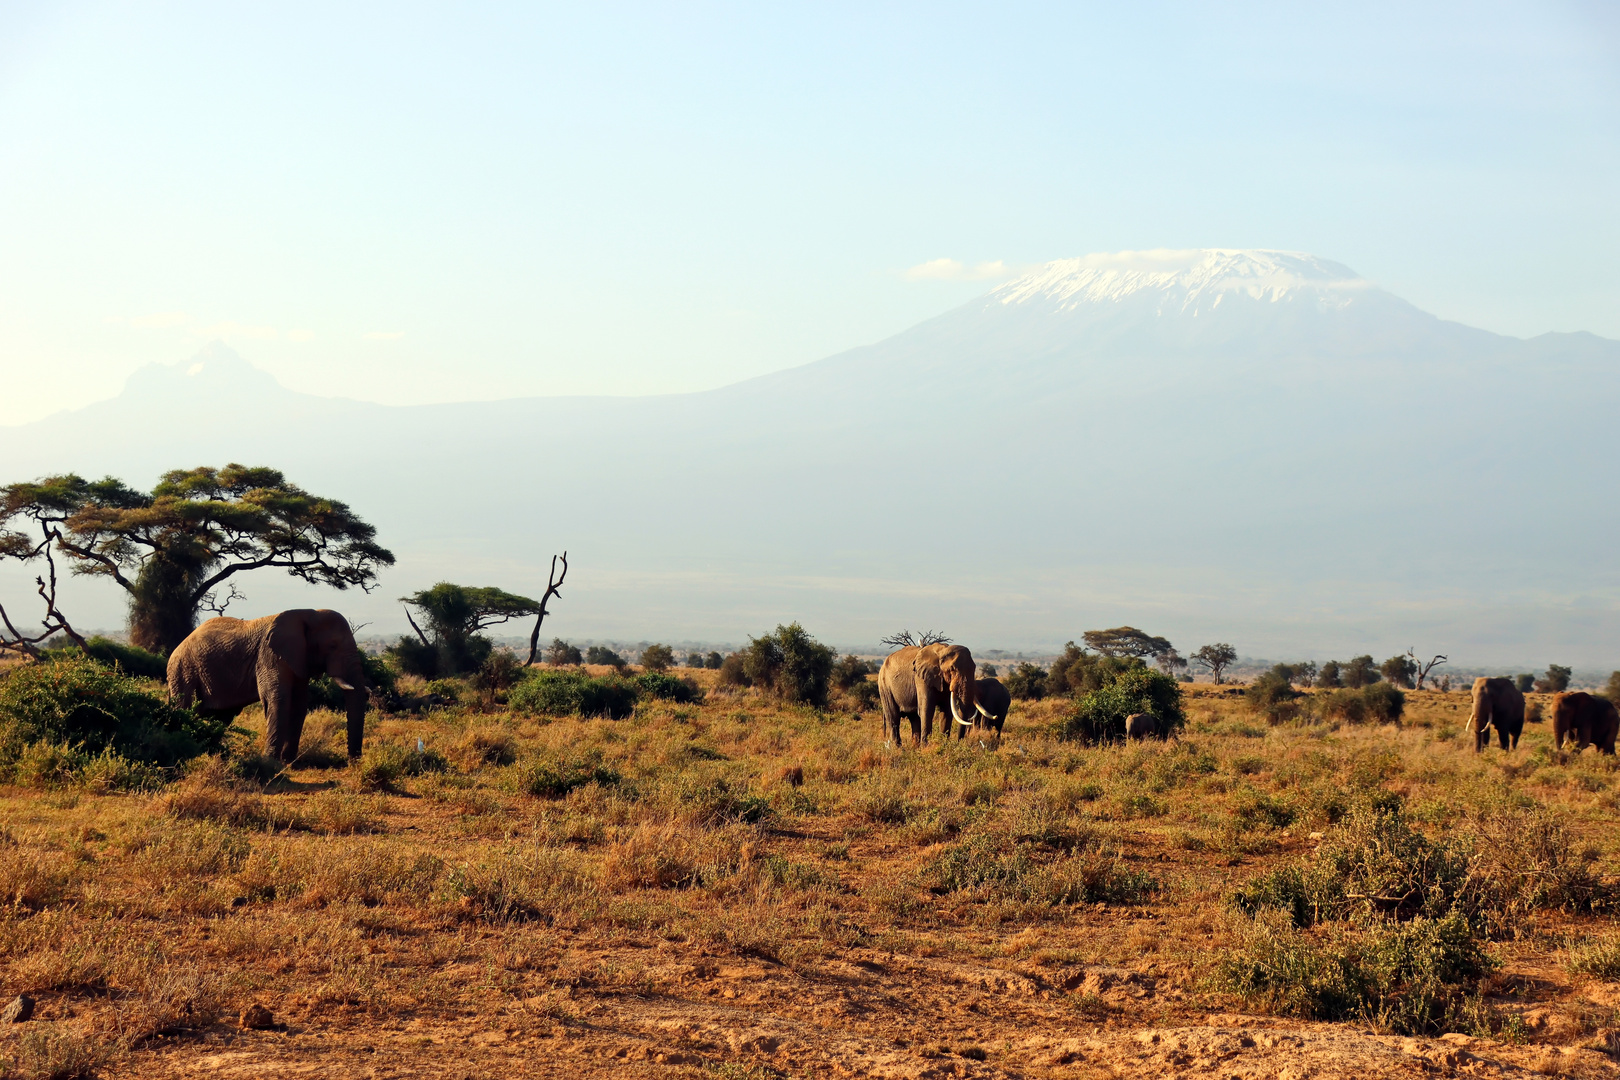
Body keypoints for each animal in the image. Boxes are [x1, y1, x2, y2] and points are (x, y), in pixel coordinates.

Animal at [170, 608, 372, 767]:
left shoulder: (299, 659)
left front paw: (288, 763)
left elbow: (299, 704)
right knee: (186, 707)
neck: (309, 613)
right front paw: (270, 762)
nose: (353, 763)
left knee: (222, 715)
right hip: (182, 669)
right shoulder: (269, 655)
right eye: (332, 645)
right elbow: (279, 699)